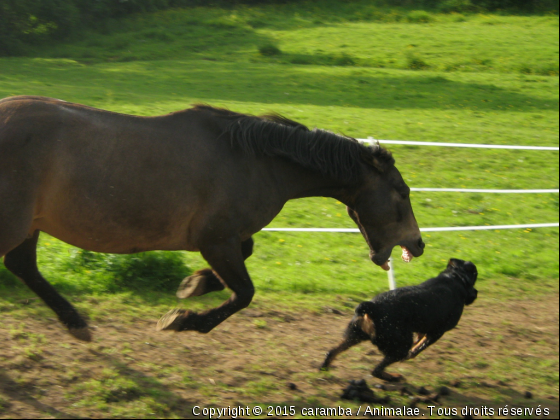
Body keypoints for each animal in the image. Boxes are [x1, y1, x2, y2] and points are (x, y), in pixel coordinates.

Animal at [0, 96, 422, 342]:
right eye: (402, 192)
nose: (418, 245)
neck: (256, 161)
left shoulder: (225, 238)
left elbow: (244, 257)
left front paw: (194, 285)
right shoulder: (216, 240)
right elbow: (244, 293)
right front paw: (182, 318)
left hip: (29, 225)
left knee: (22, 265)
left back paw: (76, 323)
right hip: (15, 223)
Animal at [322, 258, 474, 382]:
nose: (475, 294)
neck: (454, 278)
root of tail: (372, 308)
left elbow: (420, 338)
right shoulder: (437, 332)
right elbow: (419, 347)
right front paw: (414, 351)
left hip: (354, 335)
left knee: (332, 351)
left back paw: (324, 368)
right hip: (399, 346)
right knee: (376, 370)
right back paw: (393, 377)